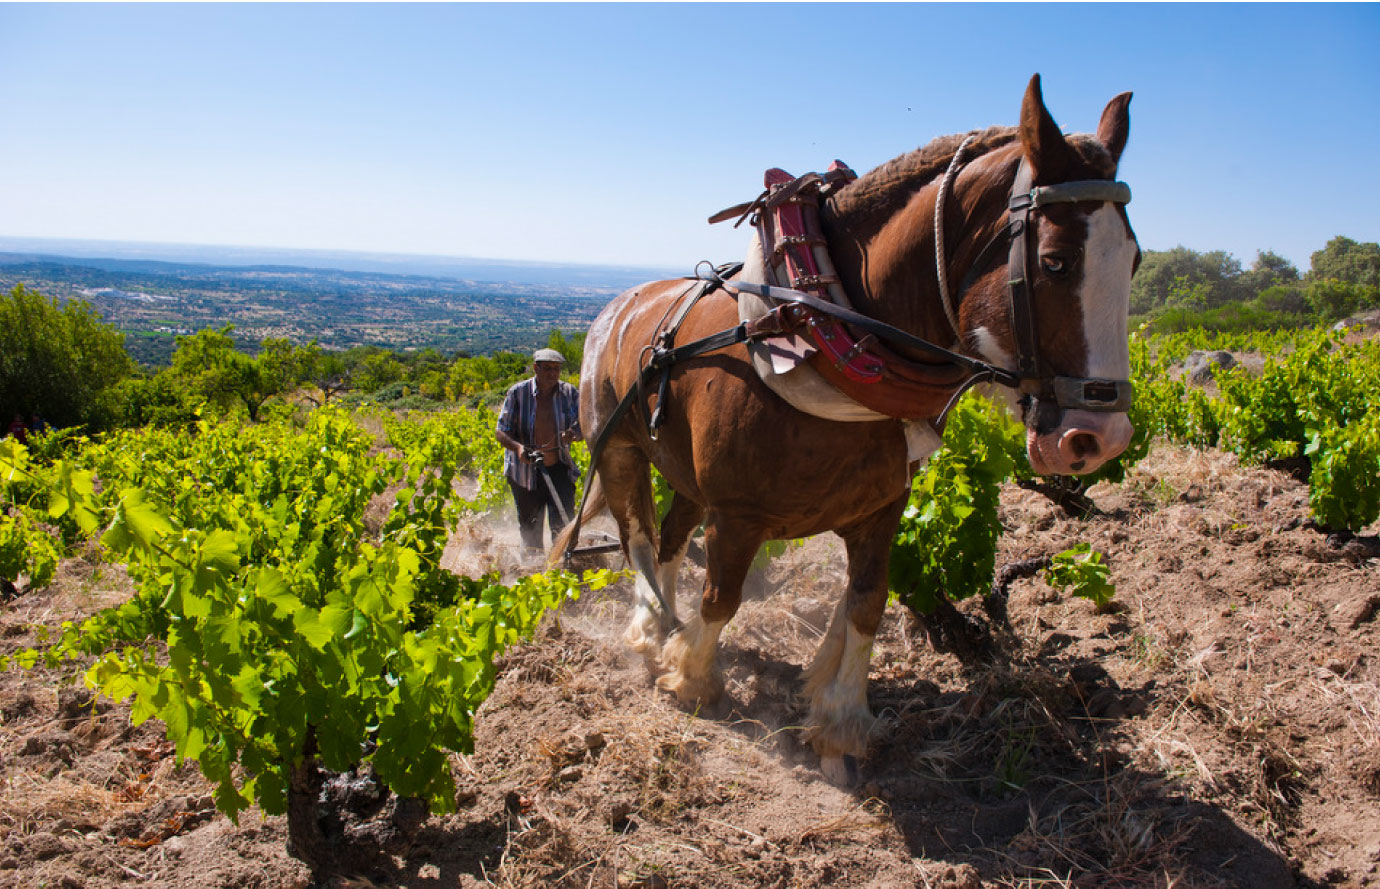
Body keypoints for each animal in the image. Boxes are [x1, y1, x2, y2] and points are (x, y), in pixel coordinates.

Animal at [554, 76, 1137, 784]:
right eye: (1055, 262)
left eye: (1135, 261)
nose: (1098, 439)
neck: (822, 334)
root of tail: (615, 308)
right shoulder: (739, 516)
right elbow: (723, 597)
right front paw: (691, 676)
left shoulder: (881, 511)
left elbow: (866, 605)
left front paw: (838, 721)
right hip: (617, 448)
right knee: (636, 534)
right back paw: (647, 630)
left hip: (685, 473)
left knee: (668, 538)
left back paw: (667, 621)